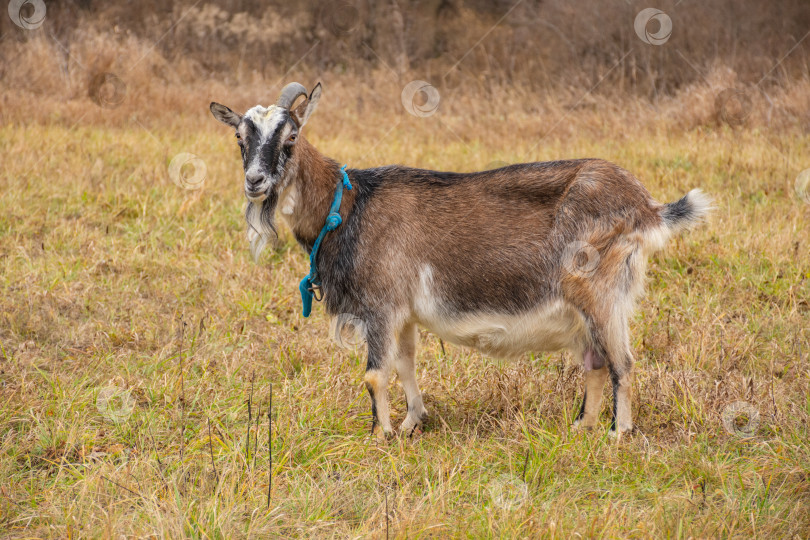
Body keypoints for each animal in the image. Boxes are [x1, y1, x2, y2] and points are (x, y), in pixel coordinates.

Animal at [211, 81, 712, 438]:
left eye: (292, 137)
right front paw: (411, 423)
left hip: (602, 292)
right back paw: (581, 425)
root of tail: (645, 206)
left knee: (622, 362)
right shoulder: (403, 312)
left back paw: (616, 433)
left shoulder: (381, 304)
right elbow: (405, 364)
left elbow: (375, 374)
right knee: (594, 360)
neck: (349, 206)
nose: (255, 182)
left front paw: (380, 435)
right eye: (239, 138)